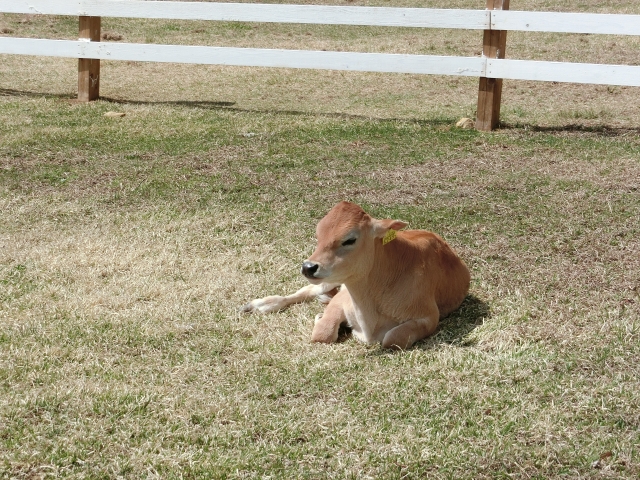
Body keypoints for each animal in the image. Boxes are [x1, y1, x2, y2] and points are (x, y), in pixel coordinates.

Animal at [244, 202, 470, 348]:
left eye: (350, 239)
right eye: (318, 234)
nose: (308, 267)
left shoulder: (429, 317)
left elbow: (393, 339)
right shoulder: (342, 298)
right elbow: (322, 333)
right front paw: (321, 318)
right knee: (306, 290)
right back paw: (260, 304)